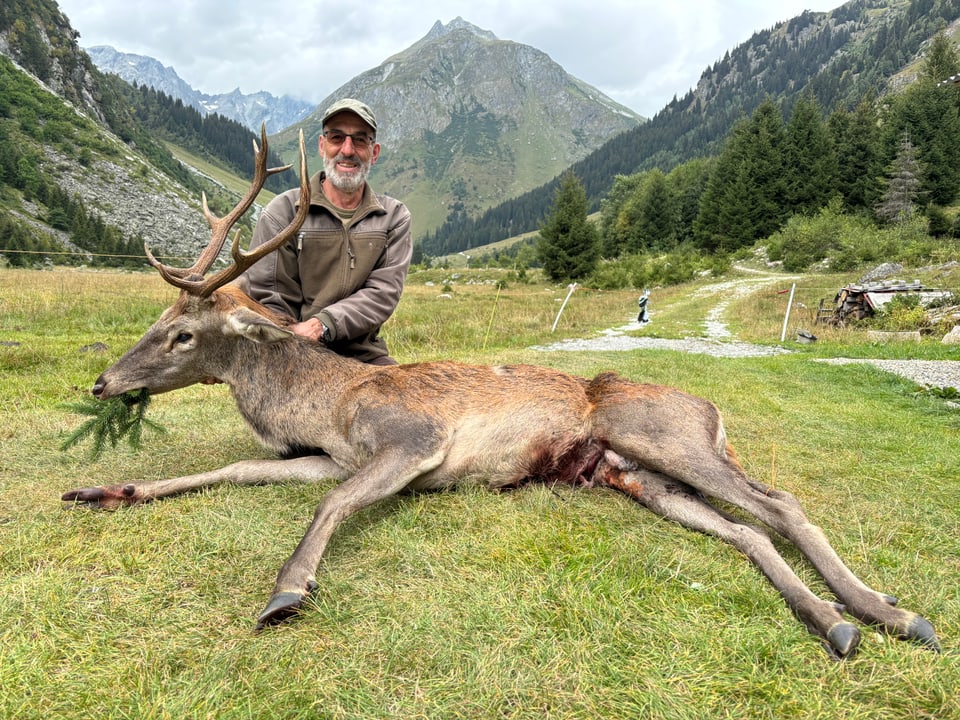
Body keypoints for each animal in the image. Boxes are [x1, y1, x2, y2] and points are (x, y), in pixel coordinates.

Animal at [63, 128, 940, 660]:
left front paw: (286, 590)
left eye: (182, 334)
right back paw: (835, 624)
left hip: (662, 433)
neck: (328, 404)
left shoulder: (413, 440)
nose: (103, 382)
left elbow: (331, 504)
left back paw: (891, 612)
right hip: (634, 475)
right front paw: (104, 488)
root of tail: (714, 413)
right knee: (746, 531)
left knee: (781, 503)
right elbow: (242, 471)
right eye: (157, 320)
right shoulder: (327, 455)